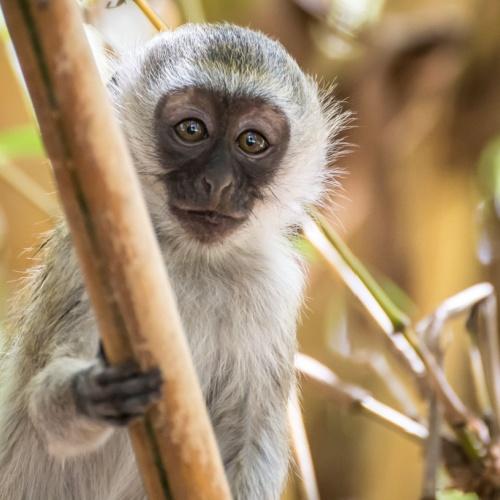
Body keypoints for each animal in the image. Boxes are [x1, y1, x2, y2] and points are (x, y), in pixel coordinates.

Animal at [0, 22, 344, 500]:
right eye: (192, 129)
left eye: (251, 141)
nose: (217, 182)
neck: (193, 259)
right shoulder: (83, 263)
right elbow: (42, 406)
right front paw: (88, 392)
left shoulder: (273, 290)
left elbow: (252, 438)